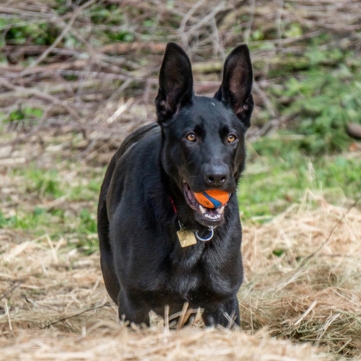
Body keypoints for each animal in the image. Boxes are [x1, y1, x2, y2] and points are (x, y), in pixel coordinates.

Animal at [97, 43, 252, 326]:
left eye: (231, 138)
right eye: (190, 137)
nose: (217, 177)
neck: (189, 226)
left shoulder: (223, 305)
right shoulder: (133, 305)